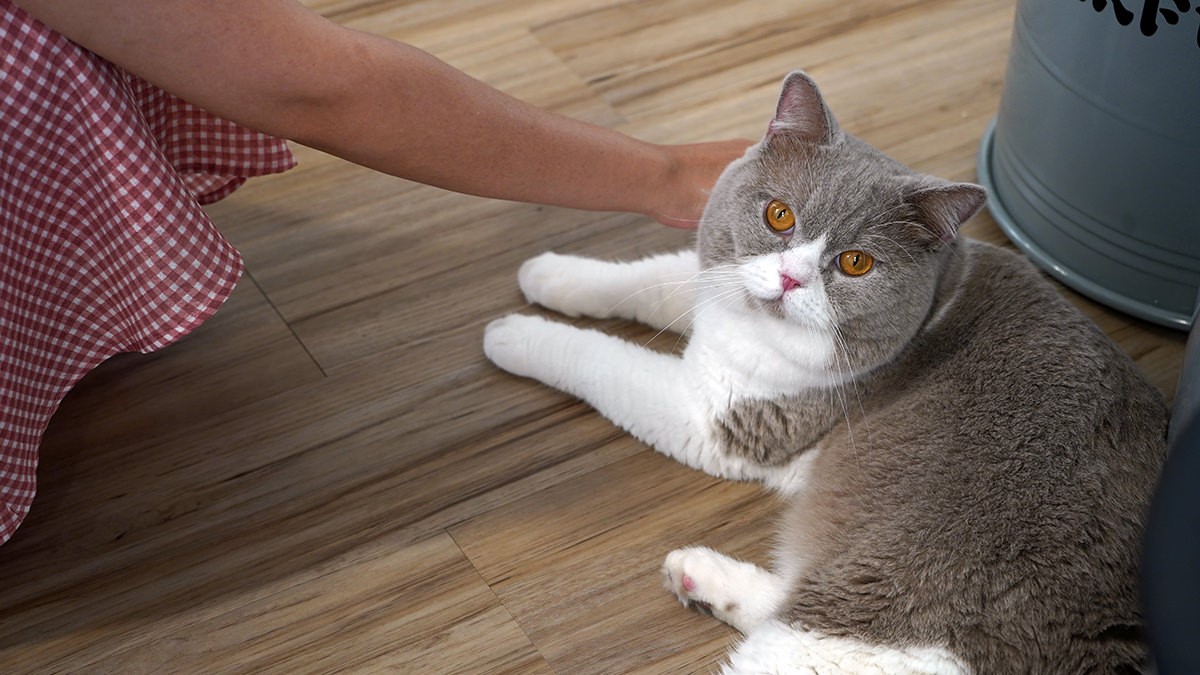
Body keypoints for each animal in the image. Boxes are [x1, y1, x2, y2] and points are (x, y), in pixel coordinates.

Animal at [482, 70, 1166, 667]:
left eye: (856, 263)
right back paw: (698, 576)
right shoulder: (717, 285)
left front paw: (511, 333)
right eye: (779, 215)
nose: (790, 277)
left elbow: (599, 357)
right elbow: (648, 280)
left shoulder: (721, 417)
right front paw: (550, 275)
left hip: (860, 623)